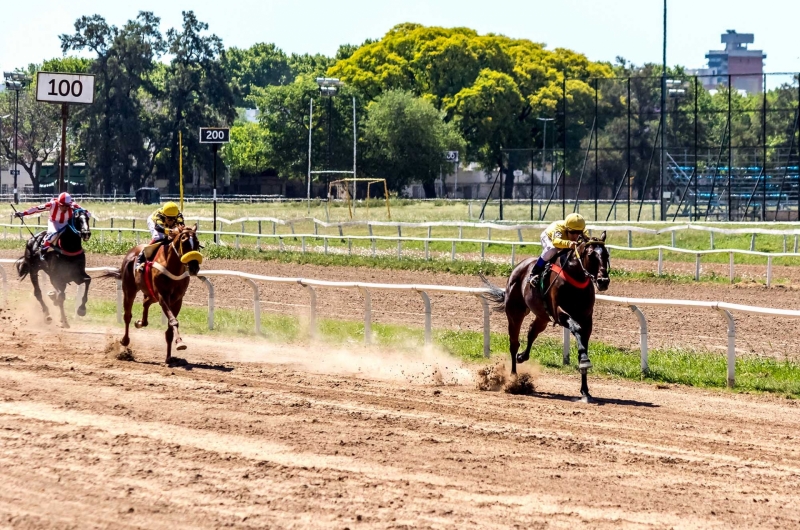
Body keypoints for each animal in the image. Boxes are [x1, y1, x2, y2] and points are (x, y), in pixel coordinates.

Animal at [103, 223, 202, 364]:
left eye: (197, 243)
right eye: (184, 242)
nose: (194, 267)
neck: (172, 267)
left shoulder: (177, 299)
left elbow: (170, 326)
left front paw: (169, 356)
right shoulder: (162, 296)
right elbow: (173, 321)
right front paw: (180, 343)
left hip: (151, 294)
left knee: (145, 303)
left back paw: (140, 322)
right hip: (129, 289)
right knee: (127, 315)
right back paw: (125, 340)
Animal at [482, 233, 612, 398]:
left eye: (606, 254)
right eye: (590, 255)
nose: (603, 281)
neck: (575, 276)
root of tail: (518, 267)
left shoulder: (587, 319)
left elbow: (582, 340)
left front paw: (585, 389)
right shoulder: (559, 313)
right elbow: (576, 328)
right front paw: (584, 360)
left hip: (542, 316)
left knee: (532, 332)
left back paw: (522, 357)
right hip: (515, 312)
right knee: (514, 343)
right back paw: (514, 380)